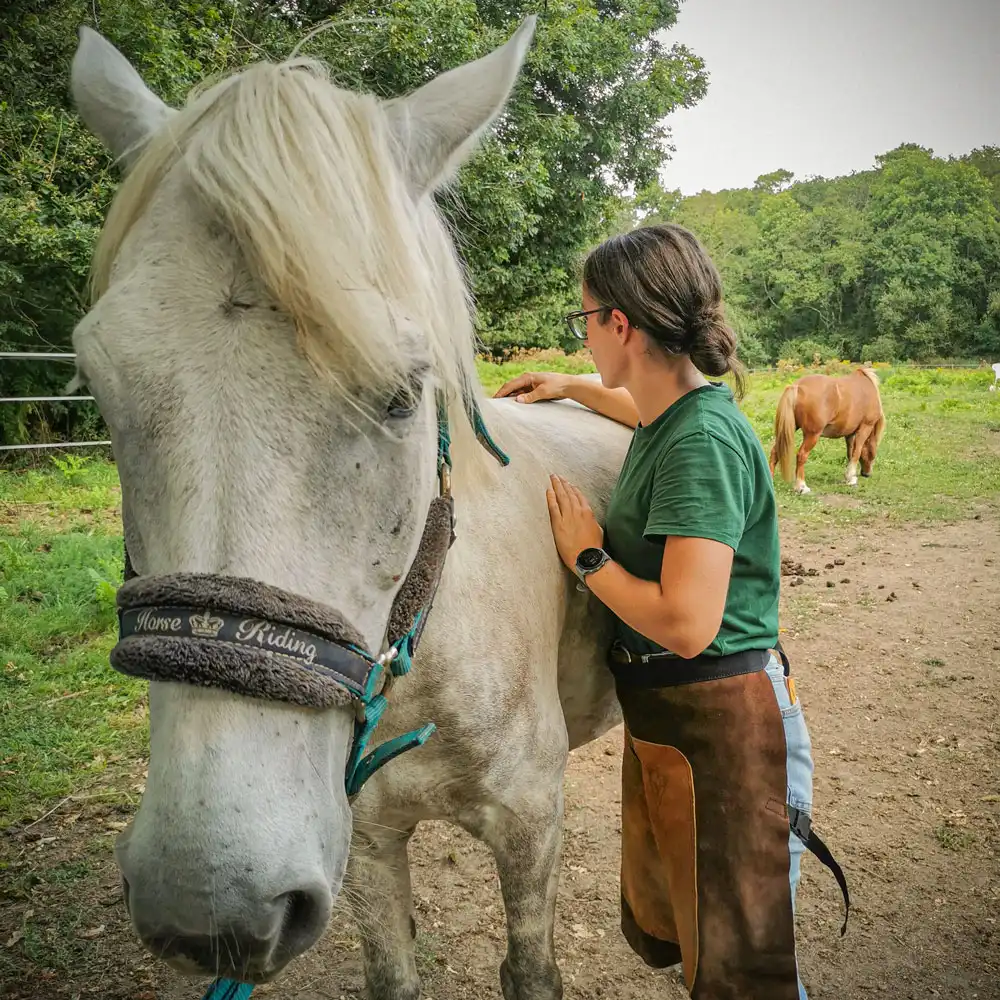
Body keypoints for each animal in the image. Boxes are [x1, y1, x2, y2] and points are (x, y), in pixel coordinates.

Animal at [69, 20, 633, 1000]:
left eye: (403, 394)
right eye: (102, 387)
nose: (208, 902)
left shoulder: (531, 830)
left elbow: (530, 967)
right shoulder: (363, 842)